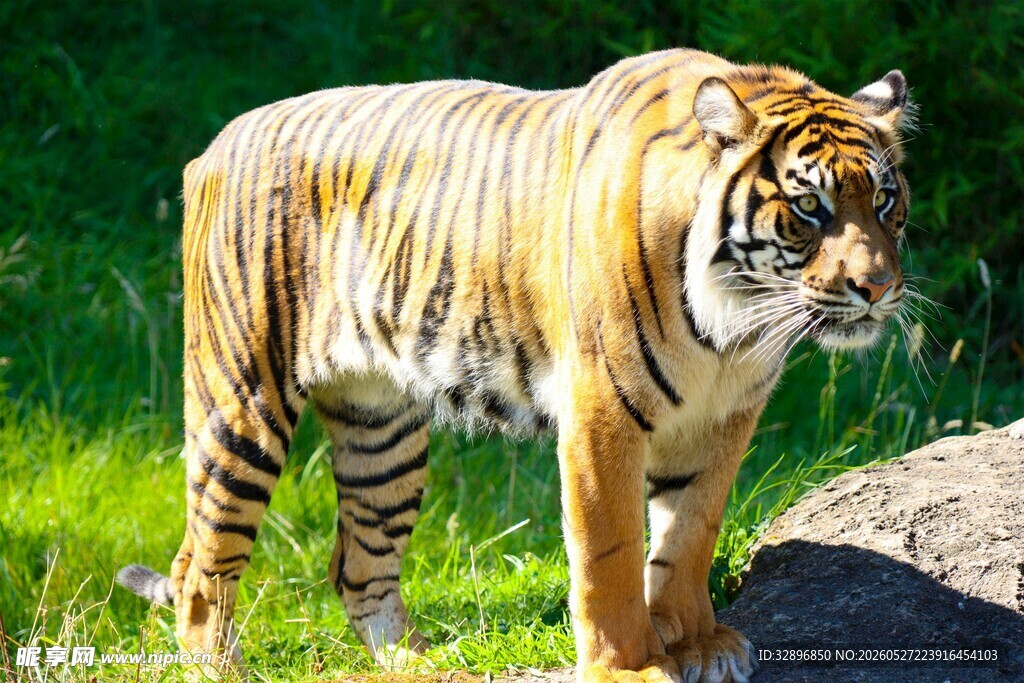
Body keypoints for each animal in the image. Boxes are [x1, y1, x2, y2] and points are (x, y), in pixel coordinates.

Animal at [118, 48, 913, 682]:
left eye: (884, 200)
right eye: (808, 207)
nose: (877, 288)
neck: (735, 321)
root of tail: (217, 142)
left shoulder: (724, 417)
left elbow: (689, 534)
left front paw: (698, 642)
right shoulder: (602, 414)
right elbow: (610, 551)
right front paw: (629, 665)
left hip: (382, 432)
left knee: (357, 566)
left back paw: (420, 663)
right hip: (241, 401)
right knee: (200, 564)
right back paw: (221, 668)